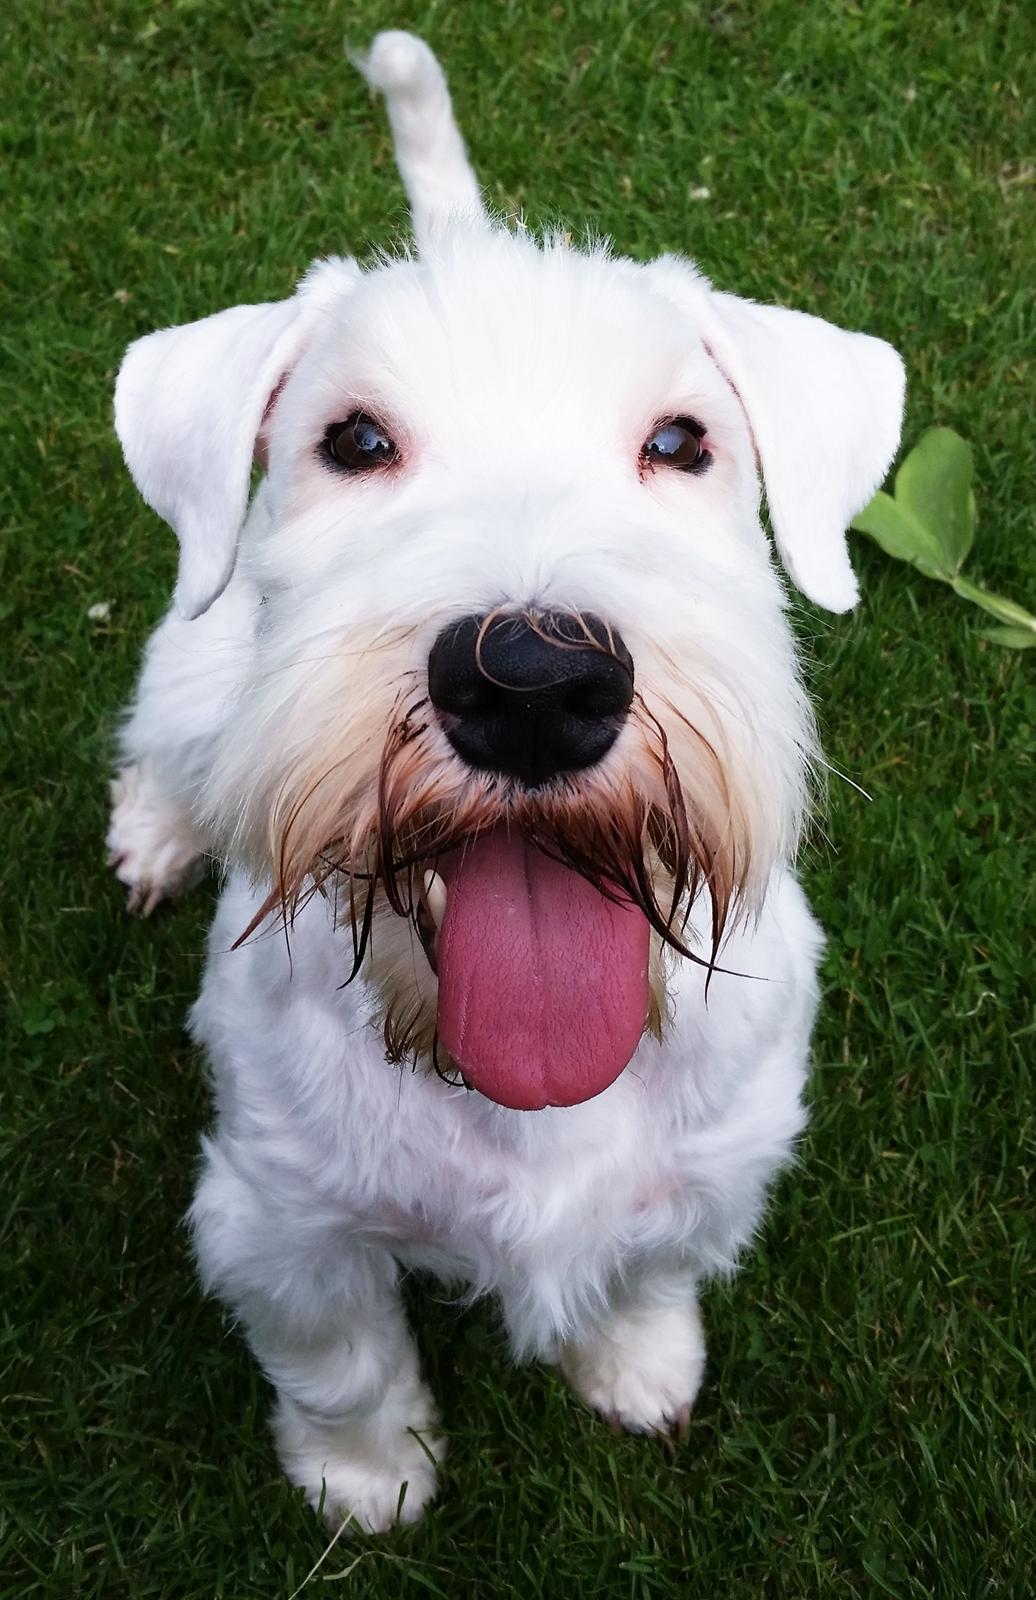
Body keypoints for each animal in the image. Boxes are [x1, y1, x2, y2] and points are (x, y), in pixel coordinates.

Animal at [103, 31, 895, 1536]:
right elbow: (342, 1358)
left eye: (681, 441)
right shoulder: (279, 1218)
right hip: (191, 672)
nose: (533, 683)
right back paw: (154, 834)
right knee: (166, 746)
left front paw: (638, 1368)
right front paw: (368, 1479)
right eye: (355, 441)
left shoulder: (718, 1160)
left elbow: (646, 1268)